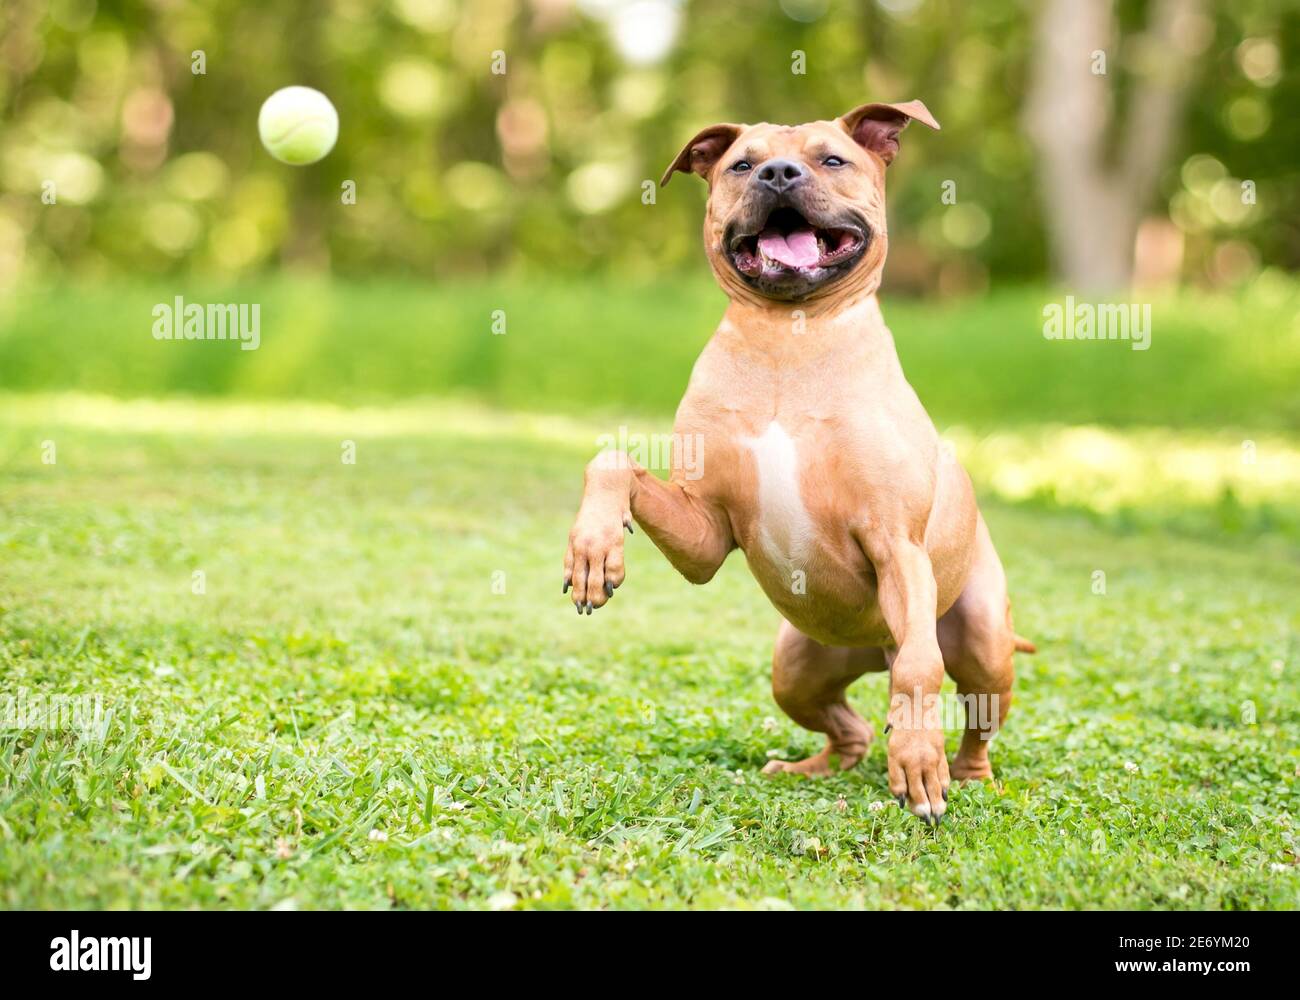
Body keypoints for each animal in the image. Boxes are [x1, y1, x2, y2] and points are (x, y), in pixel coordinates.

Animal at [564, 97, 1029, 821]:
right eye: (741, 164)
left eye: (832, 158)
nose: (778, 174)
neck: (790, 339)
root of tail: (873, 649)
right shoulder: (706, 532)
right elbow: (612, 459)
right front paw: (594, 551)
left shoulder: (896, 544)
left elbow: (920, 671)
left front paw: (919, 763)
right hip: (799, 668)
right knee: (853, 728)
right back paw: (811, 766)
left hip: (981, 643)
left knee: (961, 709)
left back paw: (963, 773)